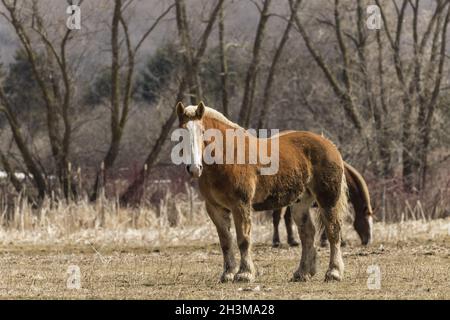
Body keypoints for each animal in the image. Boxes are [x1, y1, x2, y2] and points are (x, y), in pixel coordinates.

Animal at [176, 102, 348, 282]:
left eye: (202, 131)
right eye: (181, 133)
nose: (194, 168)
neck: (227, 158)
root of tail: (328, 143)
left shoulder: (240, 204)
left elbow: (243, 239)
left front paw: (244, 273)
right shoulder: (215, 208)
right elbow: (225, 241)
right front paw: (228, 274)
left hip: (328, 199)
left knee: (333, 231)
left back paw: (334, 272)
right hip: (300, 203)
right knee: (307, 233)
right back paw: (302, 272)